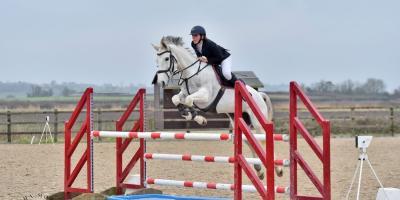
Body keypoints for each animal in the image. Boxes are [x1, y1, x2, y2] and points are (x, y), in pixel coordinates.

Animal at [152, 36, 282, 180]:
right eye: (156, 61)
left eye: (166, 59)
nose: (161, 82)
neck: (192, 74)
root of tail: (259, 94)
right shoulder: (184, 93)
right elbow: (176, 99)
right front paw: (191, 116)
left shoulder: (206, 96)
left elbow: (189, 100)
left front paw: (197, 117)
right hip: (239, 120)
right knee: (251, 140)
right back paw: (259, 170)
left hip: (257, 121)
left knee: (263, 139)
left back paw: (278, 169)